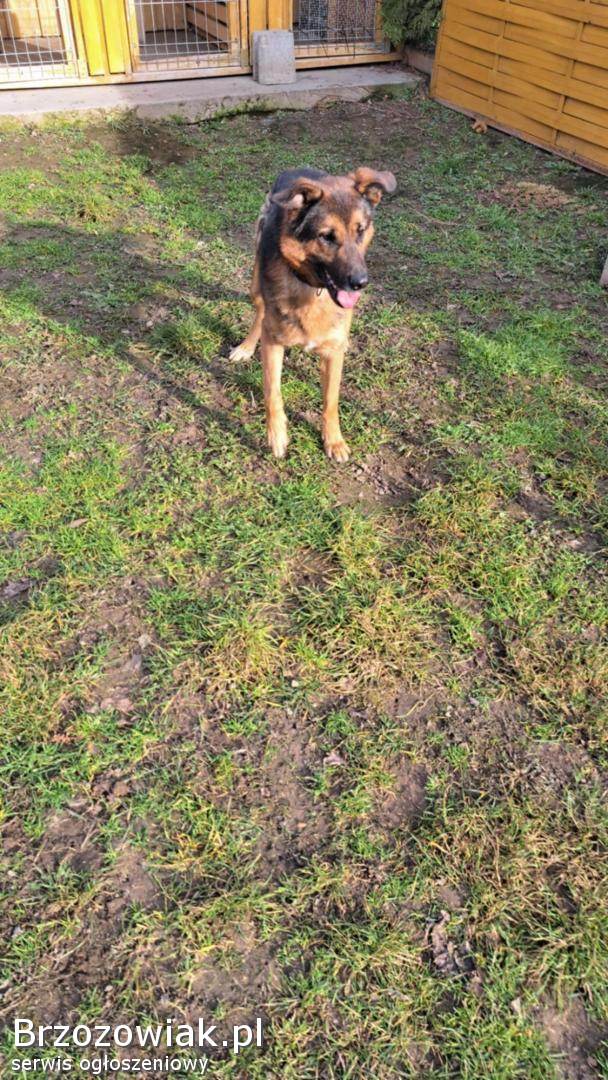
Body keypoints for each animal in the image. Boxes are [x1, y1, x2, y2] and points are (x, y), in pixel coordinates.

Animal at [230, 166, 396, 462]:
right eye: (326, 236)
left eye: (360, 230)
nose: (360, 283)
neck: (312, 287)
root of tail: (297, 170)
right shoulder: (273, 344)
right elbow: (272, 391)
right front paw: (277, 436)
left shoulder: (335, 351)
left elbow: (331, 400)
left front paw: (334, 441)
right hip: (256, 287)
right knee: (260, 314)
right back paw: (246, 347)